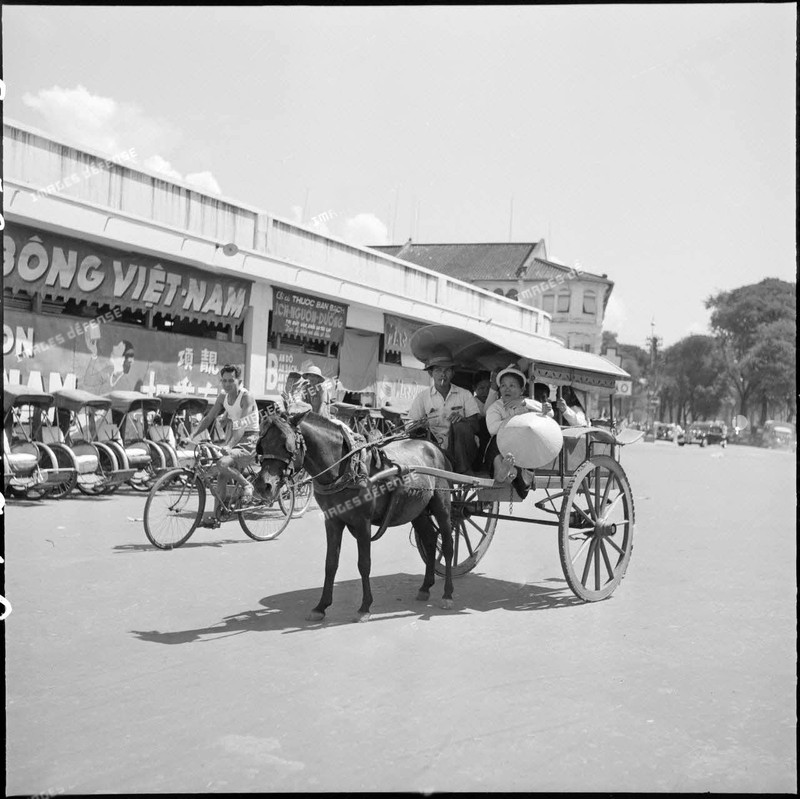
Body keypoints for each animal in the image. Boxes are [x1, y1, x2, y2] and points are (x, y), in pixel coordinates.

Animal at [258, 412, 456, 624]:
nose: (263, 485)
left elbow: (364, 563)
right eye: (261, 445)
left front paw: (364, 607)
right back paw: (425, 587)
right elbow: (330, 563)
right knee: (430, 540)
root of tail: (434, 446)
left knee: (447, 545)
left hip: (442, 502)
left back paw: (447, 594)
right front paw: (321, 606)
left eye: (286, 445)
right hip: (416, 509)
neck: (344, 469)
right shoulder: (333, 521)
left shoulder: (363, 522)